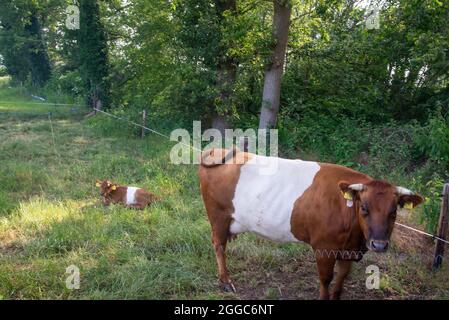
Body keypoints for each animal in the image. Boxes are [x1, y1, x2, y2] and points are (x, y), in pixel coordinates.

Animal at [198, 148, 422, 300]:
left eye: (394, 212)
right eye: (364, 207)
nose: (379, 244)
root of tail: (220, 150)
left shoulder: (348, 251)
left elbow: (341, 279)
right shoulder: (324, 247)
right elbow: (326, 279)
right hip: (218, 216)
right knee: (219, 245)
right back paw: (226, 282)